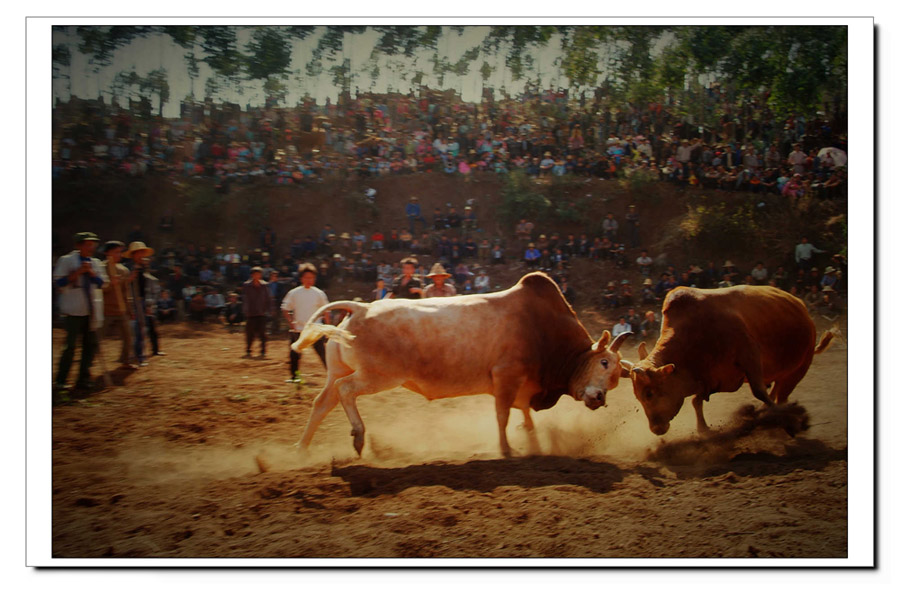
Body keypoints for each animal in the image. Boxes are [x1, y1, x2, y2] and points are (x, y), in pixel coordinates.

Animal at [292, 272, 628, 454]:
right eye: (603, 363)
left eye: (616, 378)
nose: (599, 398)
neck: (541, 327)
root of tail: (361, 308)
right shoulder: (506, 377)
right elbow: (503, 416)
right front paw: (507, 449)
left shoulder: (522, 386)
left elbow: (525, 416)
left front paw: (532, 443)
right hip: (378, 376)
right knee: (345, 390)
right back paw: (359, 436)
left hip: (344, 369)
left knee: (322, 402)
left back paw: (303, 450)